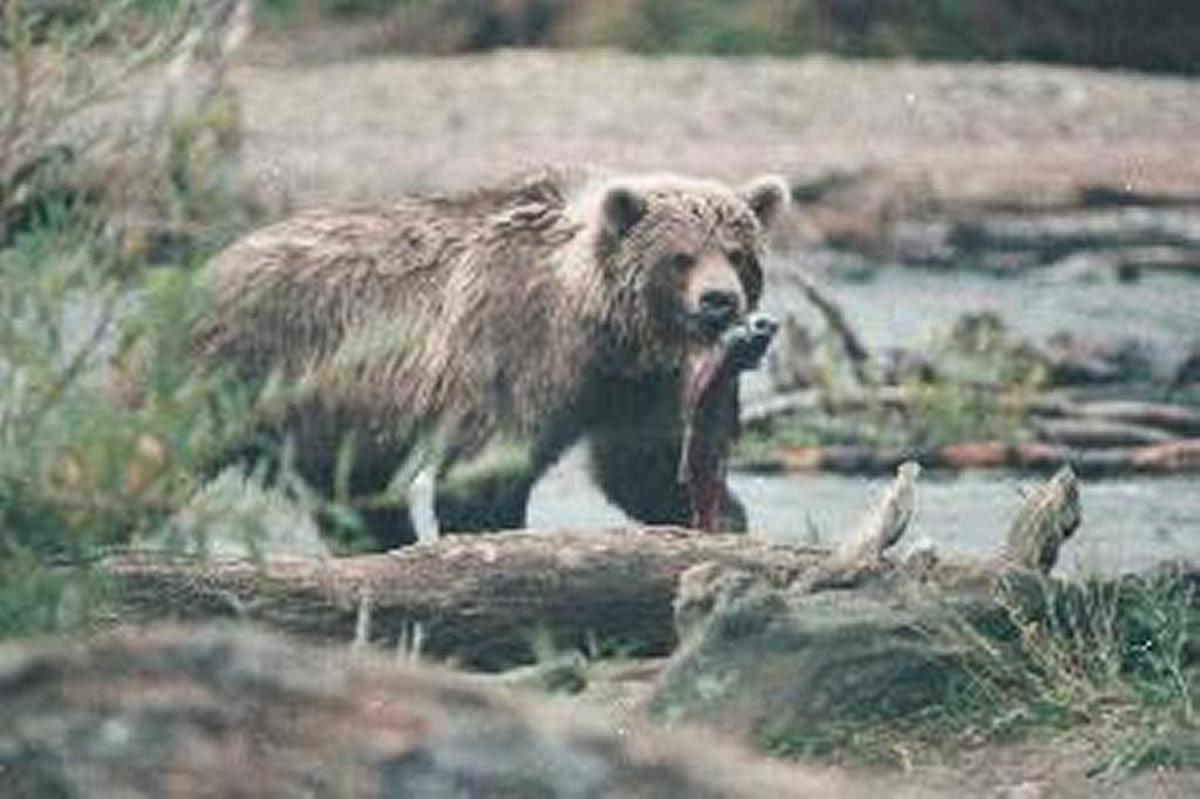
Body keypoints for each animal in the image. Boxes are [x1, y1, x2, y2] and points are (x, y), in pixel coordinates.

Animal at [190, 166, 789, 548]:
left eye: (738, 254)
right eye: (681, 257)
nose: (720, 301)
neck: (597, 329)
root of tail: (212, 265)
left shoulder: (639, 386)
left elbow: (644, 465)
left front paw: (721, 518)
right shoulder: (512, 350)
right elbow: (485, 470)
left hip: (332, 418)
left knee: (356, 496)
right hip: (246, 364)